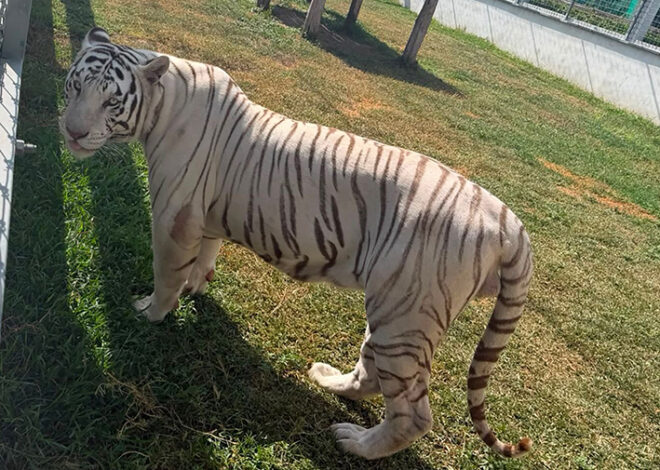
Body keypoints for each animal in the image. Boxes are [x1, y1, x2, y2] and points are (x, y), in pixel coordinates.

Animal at [60, 27, 534, 460]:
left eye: (112, 101)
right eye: (76, 85)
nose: (72, 133)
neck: (164, 101)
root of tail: (508, 221)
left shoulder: (174, 218)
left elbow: (166, 275)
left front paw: (150, 312)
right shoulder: (206, 216)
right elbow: (205, 256)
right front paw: (197, 286)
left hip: (407, 313)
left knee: (414, 413)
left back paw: (356, 443)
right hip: (393, 311)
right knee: (372, 373)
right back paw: (328, 380)